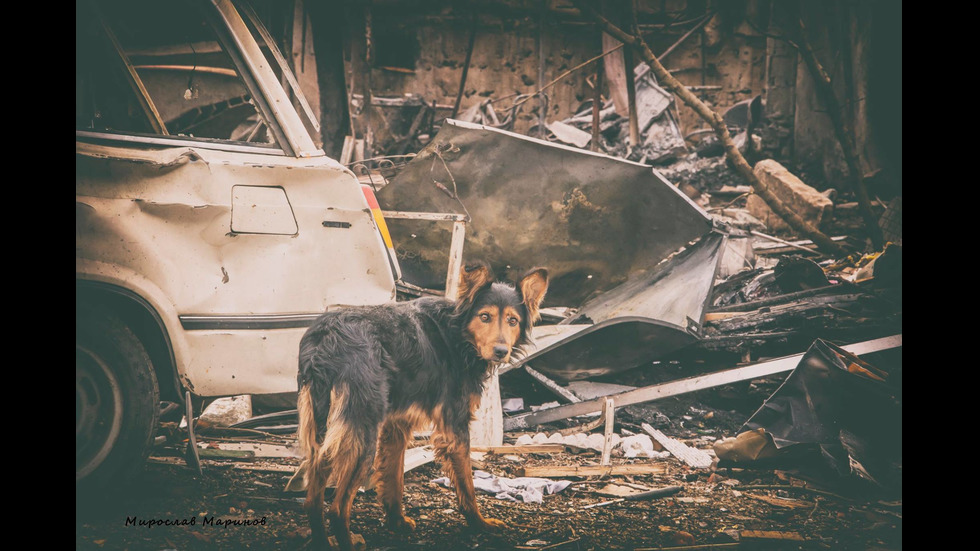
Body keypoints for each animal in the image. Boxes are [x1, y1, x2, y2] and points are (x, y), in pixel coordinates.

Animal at [294, 260, 548, 548]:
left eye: (512, 321)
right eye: (485, 317)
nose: (501, 351)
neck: (458, 334)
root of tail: (325, 341)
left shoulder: (396, 425)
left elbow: (394, 477)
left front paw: (397, 522)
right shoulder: (454, 427)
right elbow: (467, 484)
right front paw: (479, 524)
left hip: (325, 430)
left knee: (313, 502)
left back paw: (323, 542)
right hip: (361, 432)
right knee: (338, 509)